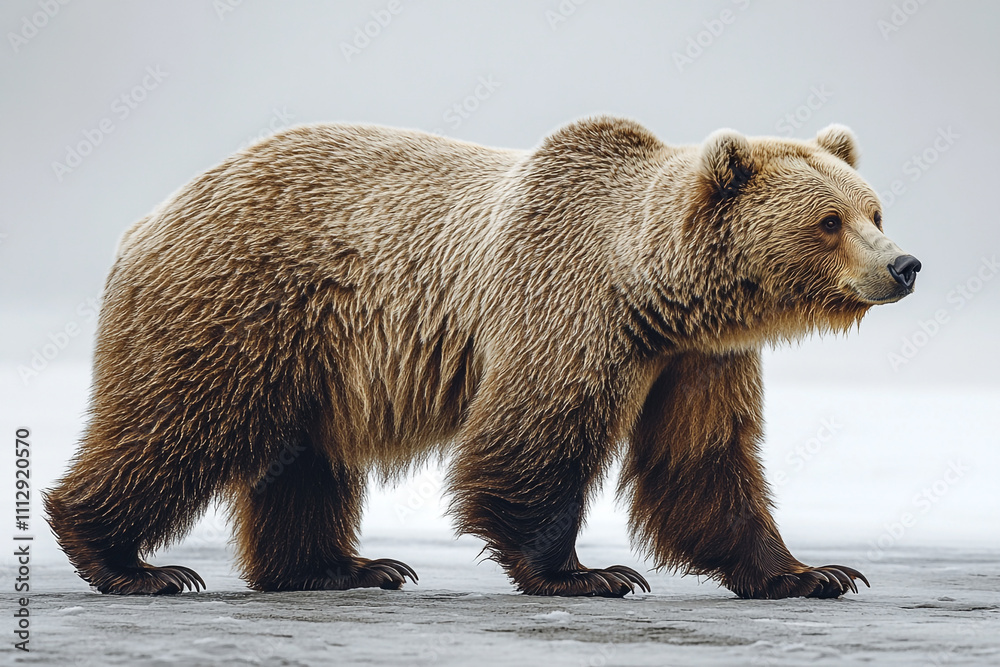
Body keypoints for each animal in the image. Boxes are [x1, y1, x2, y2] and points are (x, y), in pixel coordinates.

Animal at [44, 117, 920, 599]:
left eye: (874, 209)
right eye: (829, 221)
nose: (905, 264)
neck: (654, 292)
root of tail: (150, 217)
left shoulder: (698, 359)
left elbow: (702, 464)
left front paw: (812, 572)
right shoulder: (566, 306)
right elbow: (535, 438)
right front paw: (586, 572)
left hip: (311, 355)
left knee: (303, 460)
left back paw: (346, 566)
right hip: (238, 305)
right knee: (179, 422)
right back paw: (129, 560)